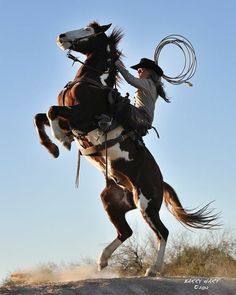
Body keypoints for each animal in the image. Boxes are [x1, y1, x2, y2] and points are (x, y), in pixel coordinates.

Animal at [34, 21, 218, 278]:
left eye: (89, 31)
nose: (61, 36)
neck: (92, 82)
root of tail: (161, 182)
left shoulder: (82, 117)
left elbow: (51, 110)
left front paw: (60, 141)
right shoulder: (68, 119)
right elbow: (40, 116)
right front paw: (52, 147)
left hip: (146, 204)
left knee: (162, 232)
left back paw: (153, 269)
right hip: (111, 202)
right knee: (126, 232)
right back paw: (102, 261)